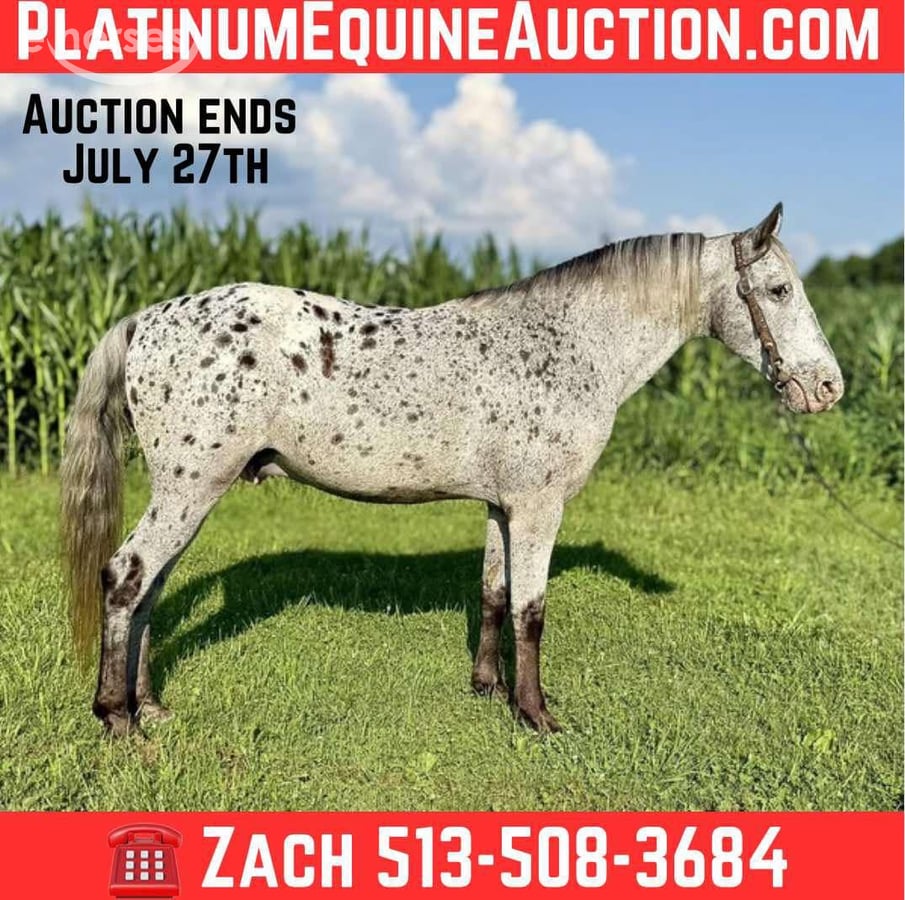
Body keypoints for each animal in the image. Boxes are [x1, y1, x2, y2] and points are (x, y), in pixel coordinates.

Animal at [61, 203, 843, 736]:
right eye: (778, 290)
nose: (827, 387)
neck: (570, 343)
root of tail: (145, 320)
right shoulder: (538, 507)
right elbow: (531, 611)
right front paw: (536, 715)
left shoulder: (502, 506)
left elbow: (494, 595)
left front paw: (487, 690)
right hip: (190, 489)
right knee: (127, 576)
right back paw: (117, 718)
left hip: (188, 493)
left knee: (151, 588)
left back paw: (150, 707)